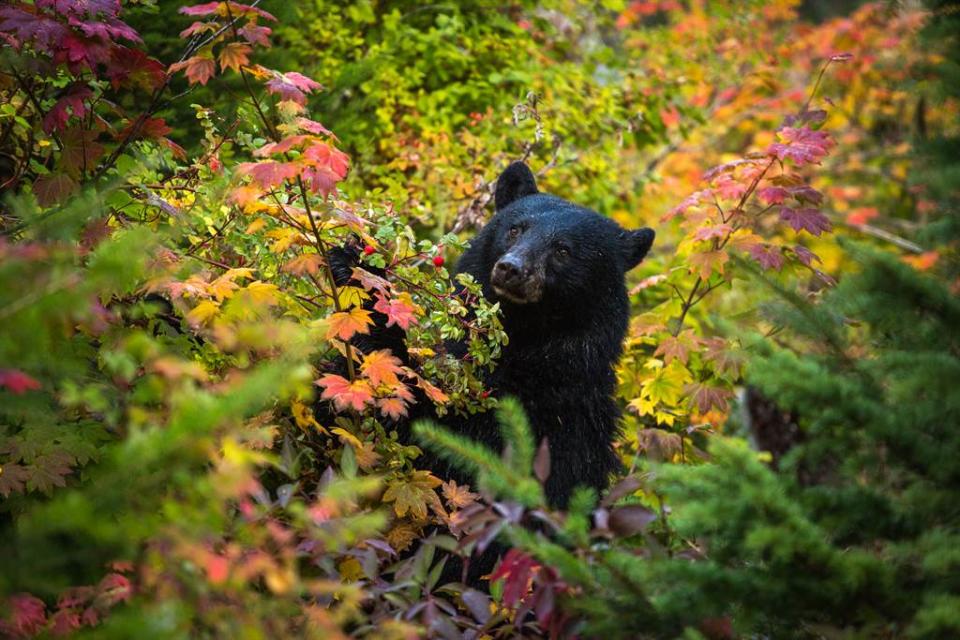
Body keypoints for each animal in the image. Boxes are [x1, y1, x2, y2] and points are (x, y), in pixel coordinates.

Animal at [328, 164, 652, 510]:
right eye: (515, 229)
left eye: (563, 250)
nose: (512, 268)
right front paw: (353, 261)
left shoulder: (538, 422)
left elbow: (437, 436)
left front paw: (359, 280)